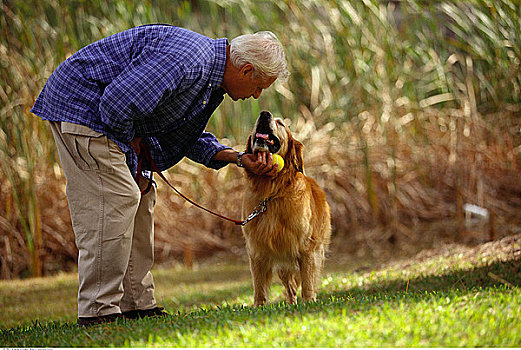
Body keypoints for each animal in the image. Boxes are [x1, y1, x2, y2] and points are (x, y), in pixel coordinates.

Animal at [242, 110, 332, 306]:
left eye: (281, 123)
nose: (264, 113)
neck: (271, 191)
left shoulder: (307, 248)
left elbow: (308, 281)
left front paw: (309, 301)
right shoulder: (256, 249)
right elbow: (259, 286)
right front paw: (259, 306)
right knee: (290, 287)